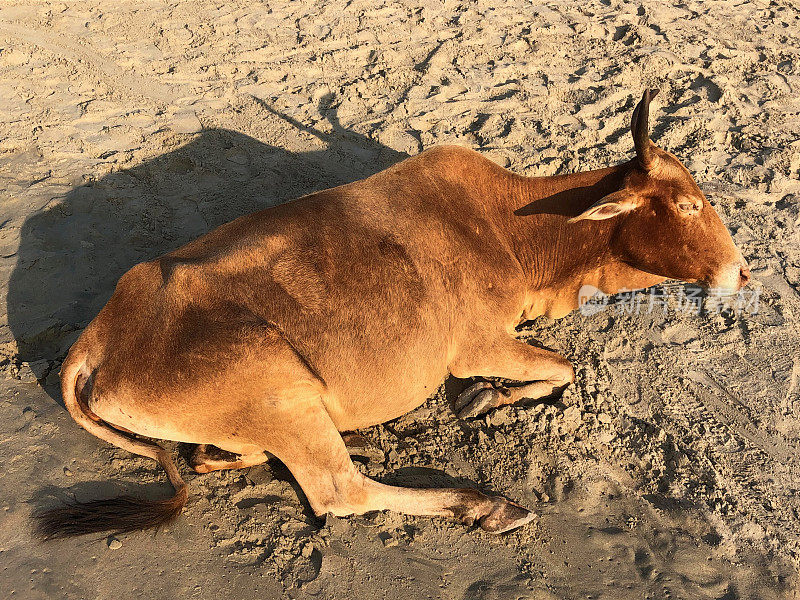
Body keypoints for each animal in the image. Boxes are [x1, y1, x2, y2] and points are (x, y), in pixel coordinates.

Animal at [36, 91, 752, 536]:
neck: (512, 227)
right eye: (687, 205)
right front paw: (485, 399)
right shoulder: (476, 344)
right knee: (340, 492)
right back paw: (482, 504)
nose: (742, 273)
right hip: (281, 391)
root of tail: (96, 344)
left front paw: (489, 398)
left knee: (220, 459)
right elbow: (562, 368)